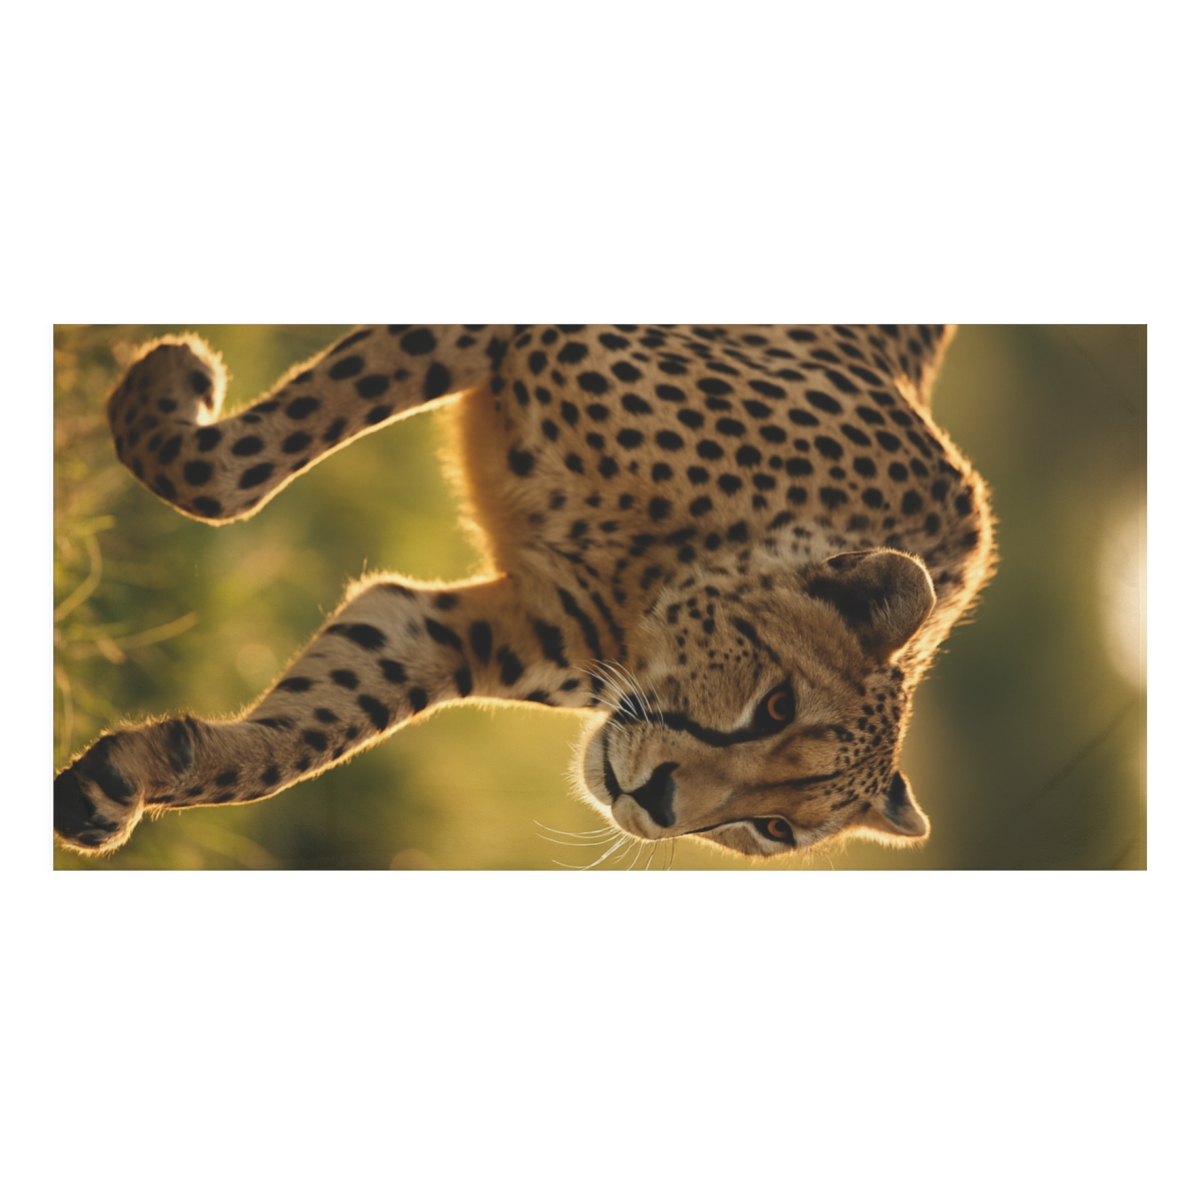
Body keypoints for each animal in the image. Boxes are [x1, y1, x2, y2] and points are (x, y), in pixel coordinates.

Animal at [53, 324, 995, 862]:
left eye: (776, 830)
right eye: (776, 706)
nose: (658, 805)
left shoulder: (438, 630)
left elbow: (303, 740)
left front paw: (126, 781)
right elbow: (230, 477)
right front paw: (167, 382)